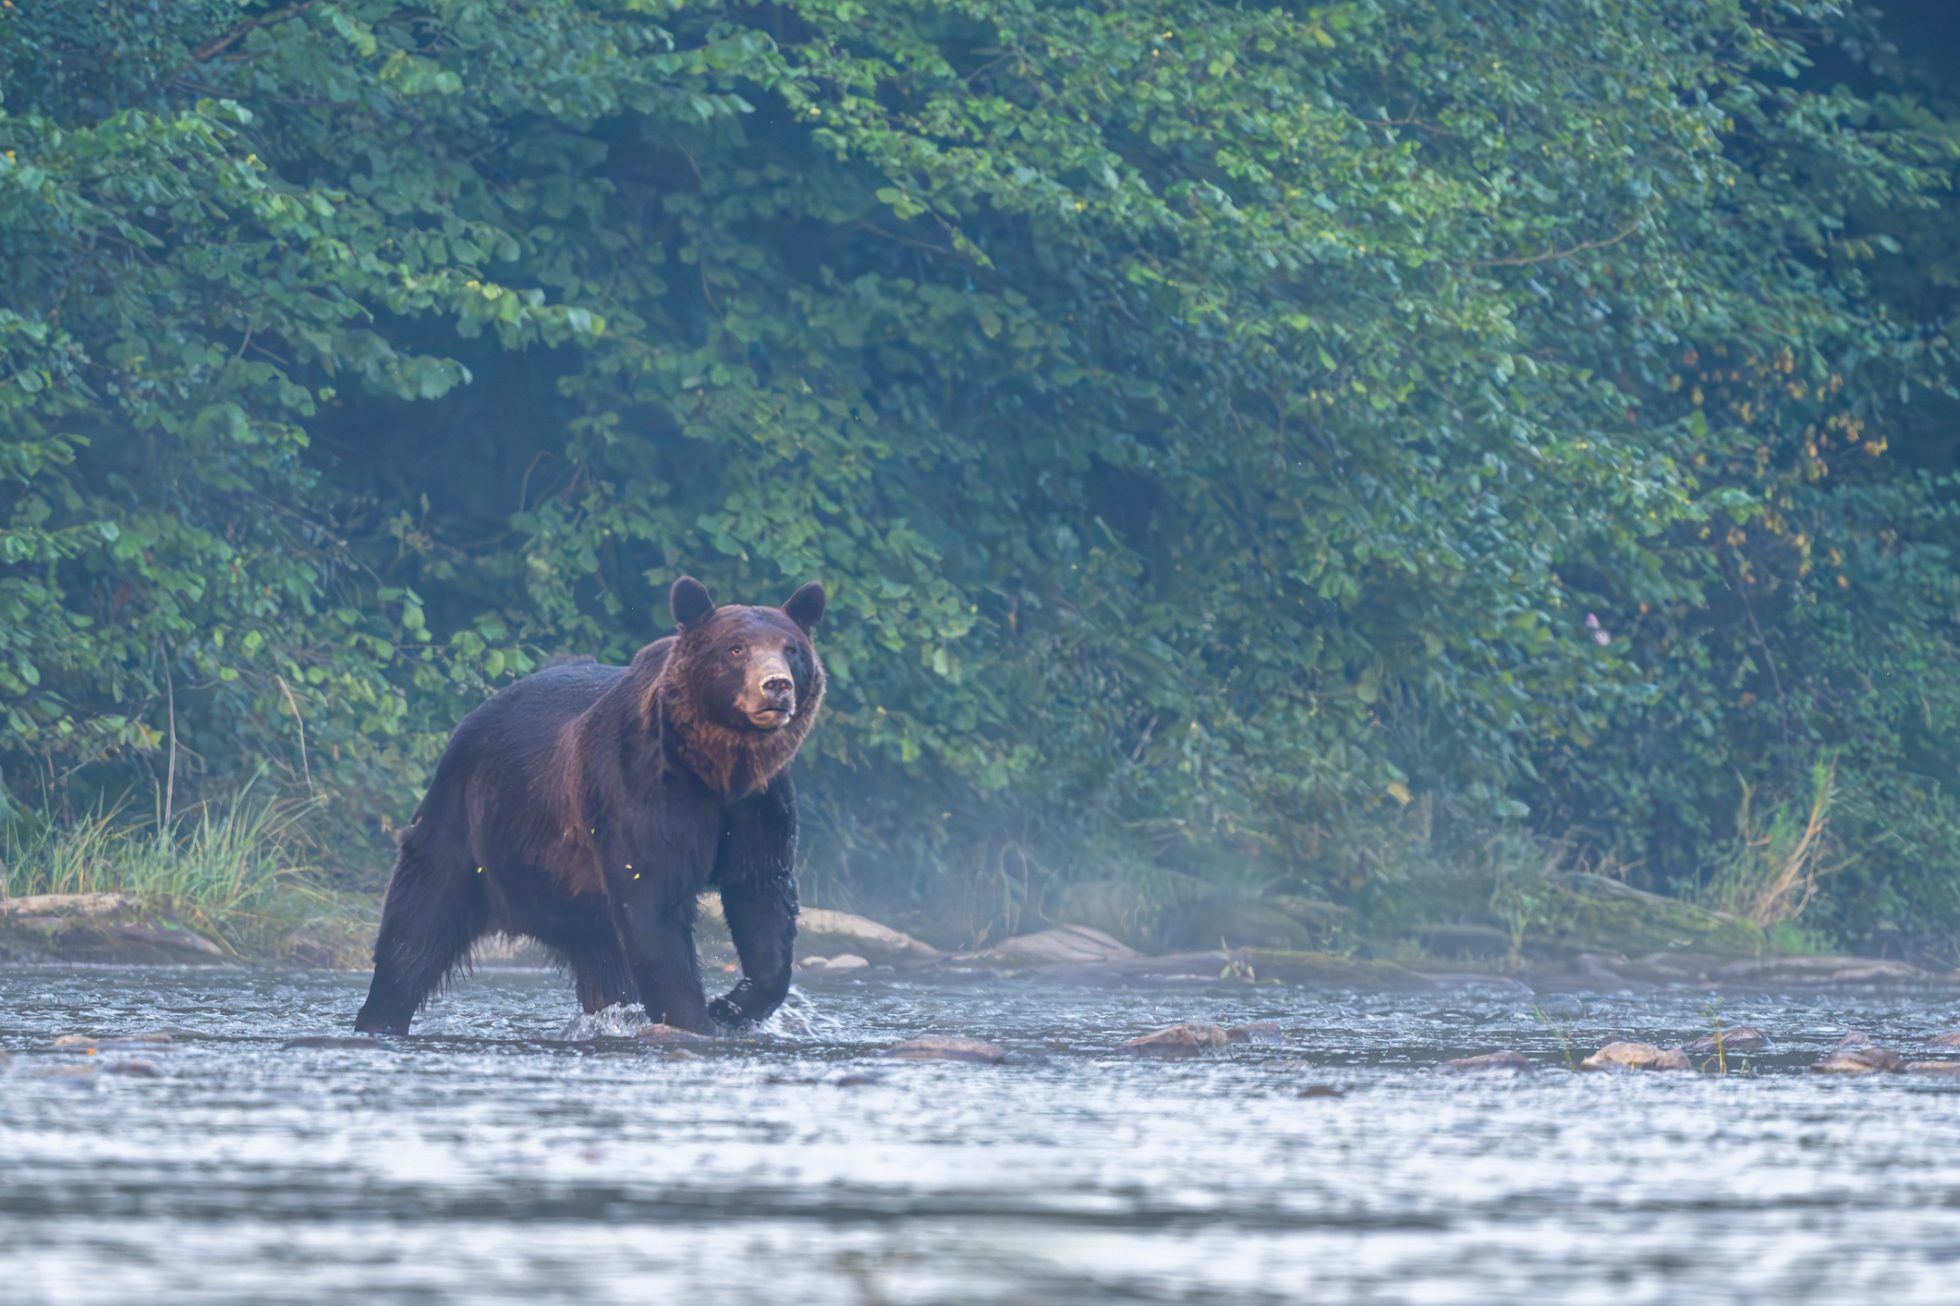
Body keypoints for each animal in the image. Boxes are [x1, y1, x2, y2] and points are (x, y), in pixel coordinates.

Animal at [352, 576, 827, 1035]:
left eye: (791, 648)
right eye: (735, 648)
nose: (776, 685)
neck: (714, 767)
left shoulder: (757, 803)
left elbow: (762, 892)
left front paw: (730, 1007)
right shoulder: (643, 793)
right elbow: (654, 907)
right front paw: (696, 1018)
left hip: (570, 892)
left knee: (604, 965)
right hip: (465, 828)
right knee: (415, 936)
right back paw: (379, 1018)